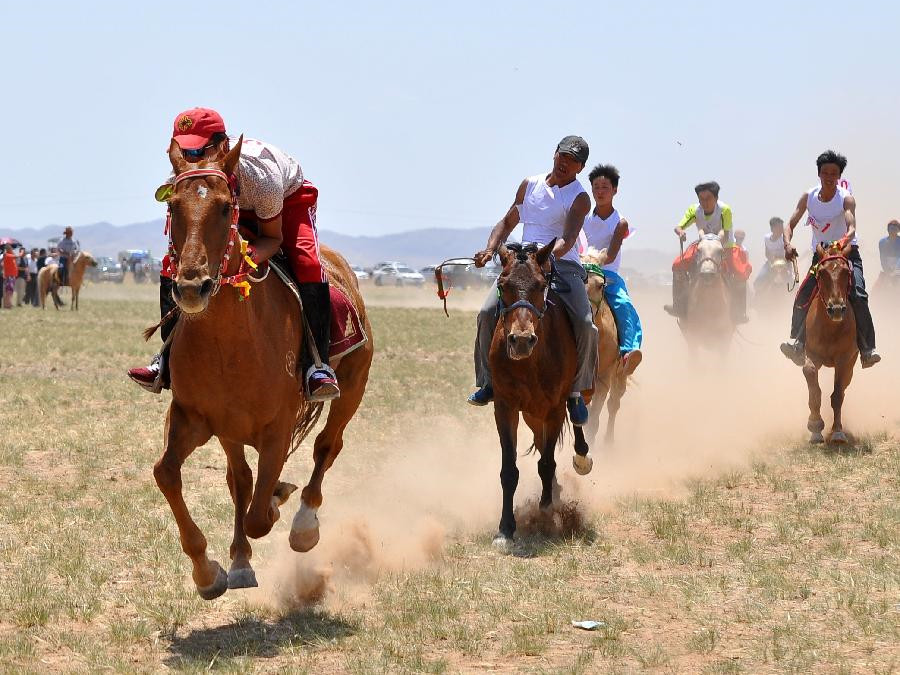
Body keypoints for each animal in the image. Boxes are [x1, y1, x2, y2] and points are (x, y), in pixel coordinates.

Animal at [155, 139, 372, 604]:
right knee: (239, 478)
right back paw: (240, 559)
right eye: (173, 206)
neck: (231, 343)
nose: (191, 287)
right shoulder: (194, 418)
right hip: (231, 430)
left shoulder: (278, 426)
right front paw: (208, 572)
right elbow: (167, 473)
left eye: (224, 207)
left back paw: (303, 525)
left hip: (352, 388)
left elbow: (259, 516)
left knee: (326, 446)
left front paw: (277, 503)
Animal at [486, 240, 592, 552]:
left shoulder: (554, 409)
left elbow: (546, 463)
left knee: (575, 421)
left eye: (541, 284)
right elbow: (509, 470)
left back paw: (581, 459)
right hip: (532, 415)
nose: (521, 340)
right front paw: (505, 529)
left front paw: (546, 514)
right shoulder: (505, 408)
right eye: (502, 283)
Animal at [576, 251, 640, 446]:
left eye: (600, 285)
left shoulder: (604, 378)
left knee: (614, 404)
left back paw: (609, 442)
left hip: (620, 376)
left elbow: (594, 420)